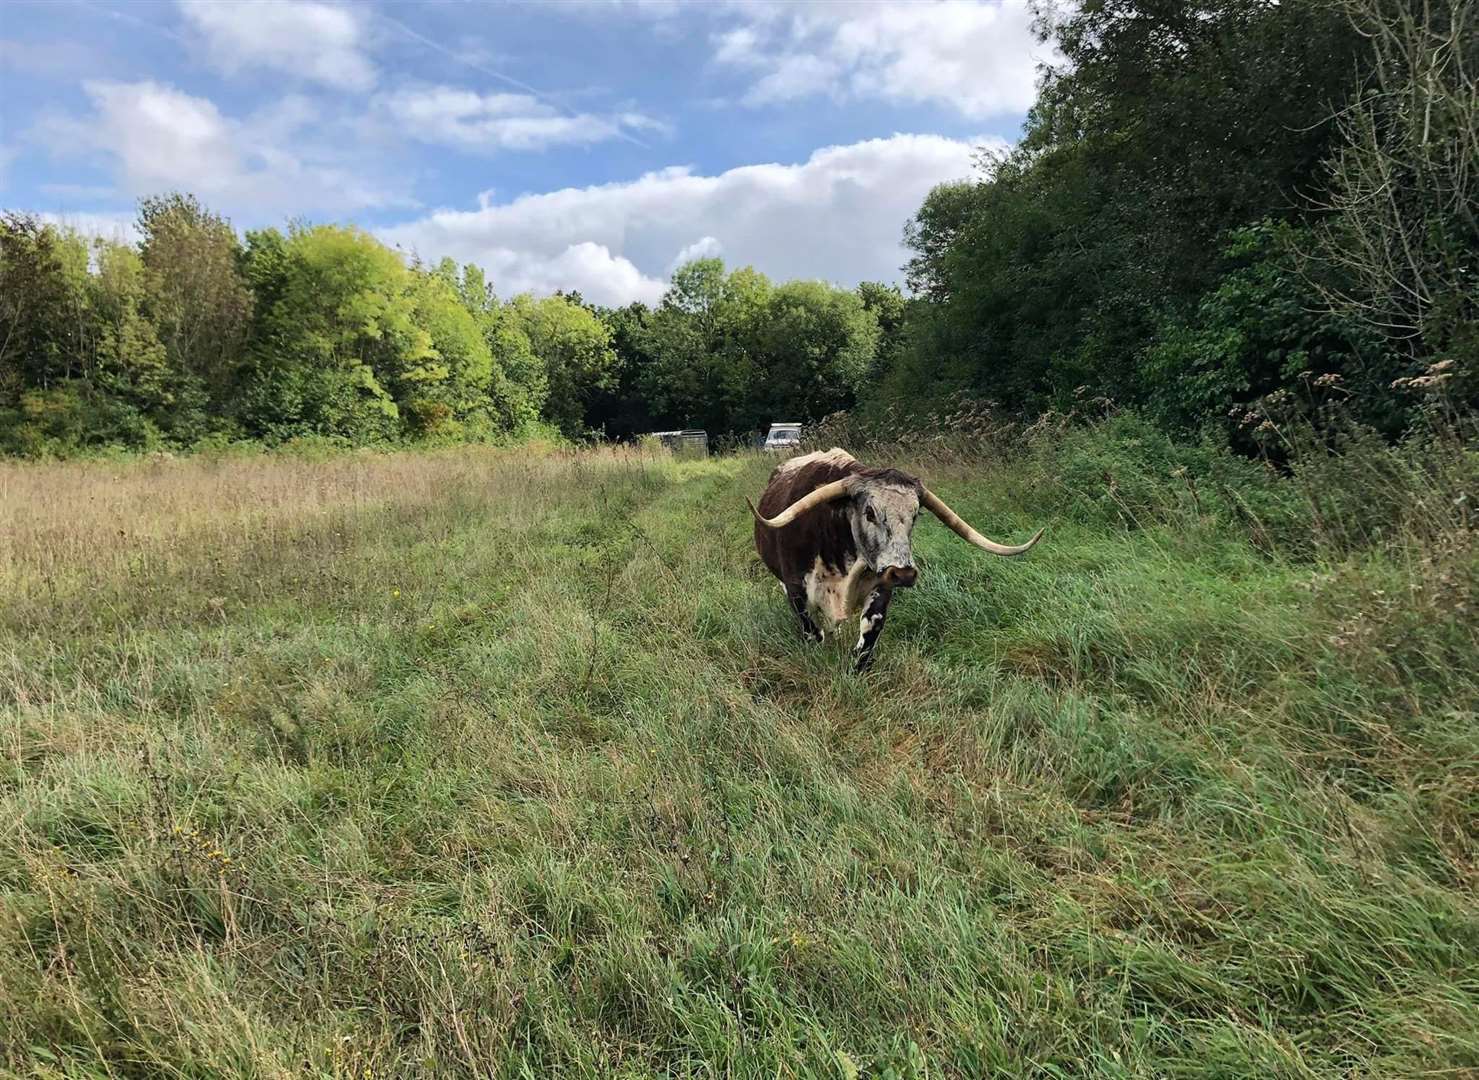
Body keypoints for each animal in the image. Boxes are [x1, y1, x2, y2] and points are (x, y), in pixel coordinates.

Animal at [745, 443, 1047, 665]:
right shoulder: (797, 589)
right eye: (869, 512)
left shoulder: (881, 583)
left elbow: (870, 630)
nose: (903, 573)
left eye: (916, 514)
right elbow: (812, 632)